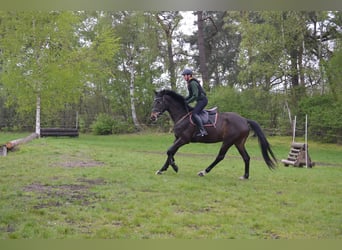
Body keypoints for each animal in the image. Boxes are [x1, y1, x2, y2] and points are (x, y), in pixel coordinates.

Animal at [150, 89, 278, 179]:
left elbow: (170, 151)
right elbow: (171, 151)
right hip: (238, 142)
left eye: (159, 102)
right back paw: (245, 176)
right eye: (154, 101)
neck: (182, 115)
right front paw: (162, 169)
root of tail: (245, 120)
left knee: (220, 156)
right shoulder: (177, 138)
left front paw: (175, 167)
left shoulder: (184, 139)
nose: (152, 117)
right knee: (246, 157)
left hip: (228, 141)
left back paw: (203, 172)